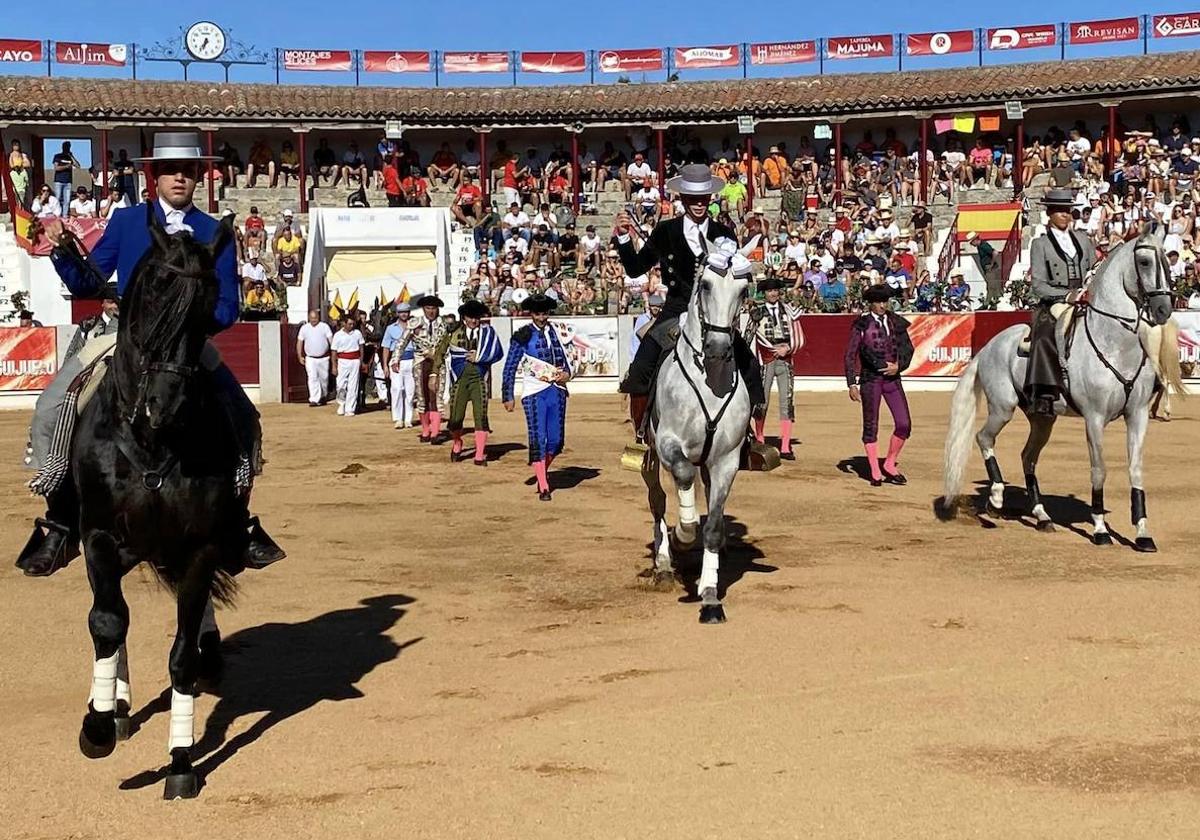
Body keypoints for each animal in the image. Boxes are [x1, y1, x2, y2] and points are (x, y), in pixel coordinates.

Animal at [72, 206, 250, 796]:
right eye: (151, 288)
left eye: (208, 305)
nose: (163, 405)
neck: (153, 444)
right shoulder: (99, 536)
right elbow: (106, 622)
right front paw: (97, 727)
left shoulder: (200, 548)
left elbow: (183, 656)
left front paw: (180, 761)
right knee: (109, 618)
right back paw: (117, 705)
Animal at [643, 236, 753, 624]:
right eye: (704, 284)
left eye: (743, 289)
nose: (718, 348)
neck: (710, 382)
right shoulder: (668, 445)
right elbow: (682, 475)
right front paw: (682, 534)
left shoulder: (726, 461)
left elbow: (715, 524)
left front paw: (709, 596)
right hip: (647, 454)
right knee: (658, 500)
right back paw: (663, 561)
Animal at [936, 223, 1180, 552]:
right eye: (1143, 262)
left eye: (1167, 262)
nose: (1164, 309)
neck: (1115, 343)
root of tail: (989, 346)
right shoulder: (1094, 418)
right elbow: (1099, 469)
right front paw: (1100, 530)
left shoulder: (1138, 414)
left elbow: (1136, 468)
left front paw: (1142, 534)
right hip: (1003, 407)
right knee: (984, 437)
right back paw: (996, 499)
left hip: (1042, 418)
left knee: (1028, 456)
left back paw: (1042, 516)